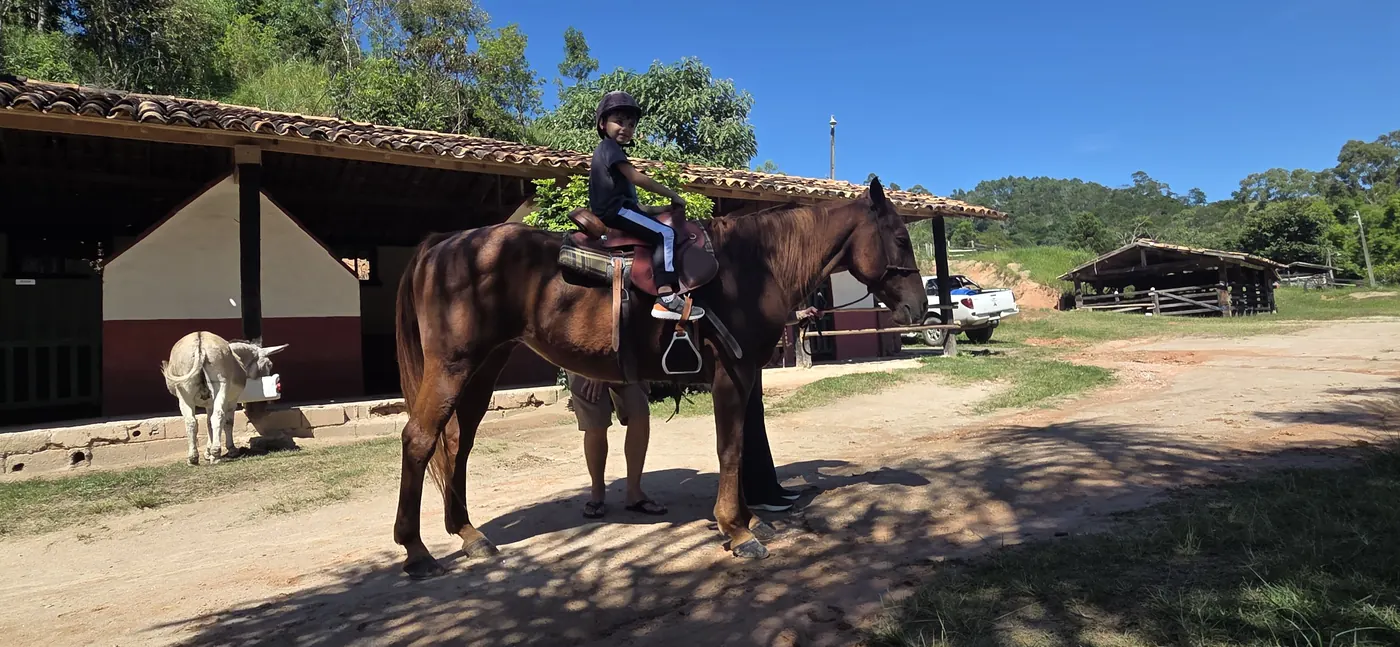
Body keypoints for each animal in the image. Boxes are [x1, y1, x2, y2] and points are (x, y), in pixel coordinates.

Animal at [392, 177, 926, 578]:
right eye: (901, 238)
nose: (919, 309)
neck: (752, 267)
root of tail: (445, 242)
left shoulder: (743, 374)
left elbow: (739, 445)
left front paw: (750, 519)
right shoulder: (732, 374)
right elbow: (731, 448)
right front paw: (737, 529)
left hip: (483, 368)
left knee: (456, 442)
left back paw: (469, 535)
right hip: (453, 366)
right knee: (419, 439)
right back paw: (416, 551)